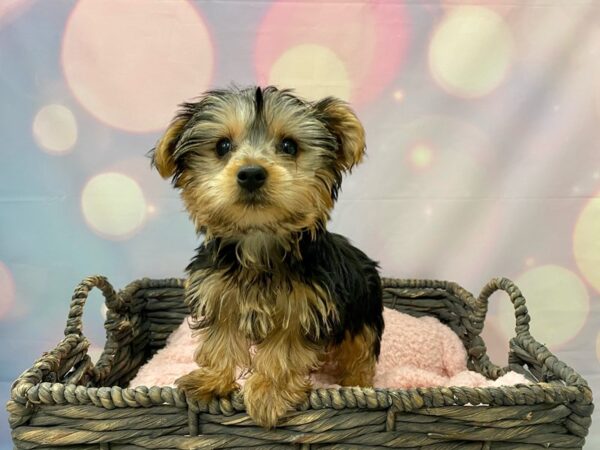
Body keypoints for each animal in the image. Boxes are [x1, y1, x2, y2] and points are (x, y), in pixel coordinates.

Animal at [151, 86, 384, 428]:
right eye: (222, 146)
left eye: (289, 146)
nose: (251, 173)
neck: (259, 242)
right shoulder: (218, 294)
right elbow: (220, 340)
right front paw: (212, 380)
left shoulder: (303, 307)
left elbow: (283, 351)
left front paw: (270, 392)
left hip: (364, 312)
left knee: (361, 350)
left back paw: (357, 385)